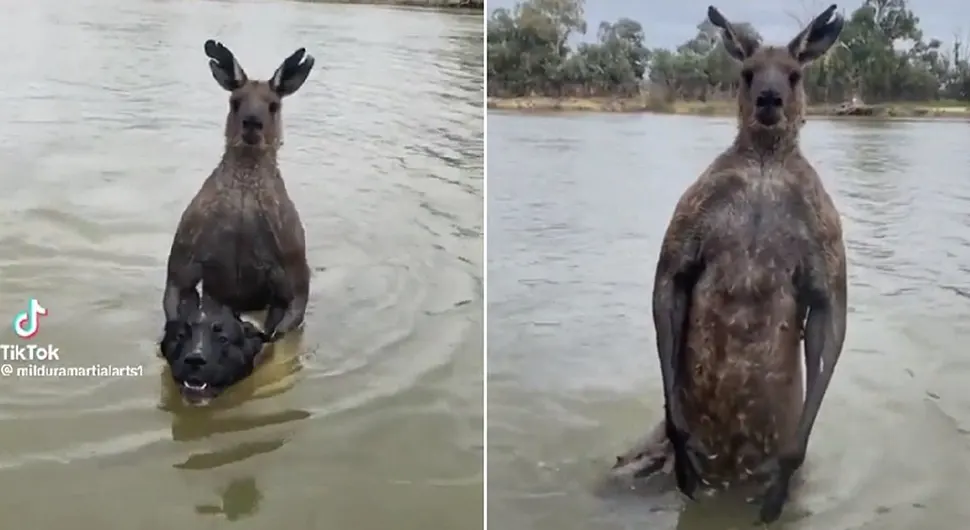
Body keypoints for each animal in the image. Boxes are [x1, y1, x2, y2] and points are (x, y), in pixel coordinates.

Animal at [158, 41, 310, 402]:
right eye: (235, 101)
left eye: (273, 105)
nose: (252, 123)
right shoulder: (185, 256)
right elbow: (178, 294)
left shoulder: (293, 269)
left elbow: (286, 315)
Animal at [612, 5, 848, 524]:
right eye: (747, 73)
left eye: (795, 75)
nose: (768, 99)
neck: (763, 166)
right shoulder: (688, 224)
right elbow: (669, 284)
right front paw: (685, 447)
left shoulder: (827, 240)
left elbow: (829, 318)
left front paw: (779, 481)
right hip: (636, 461)